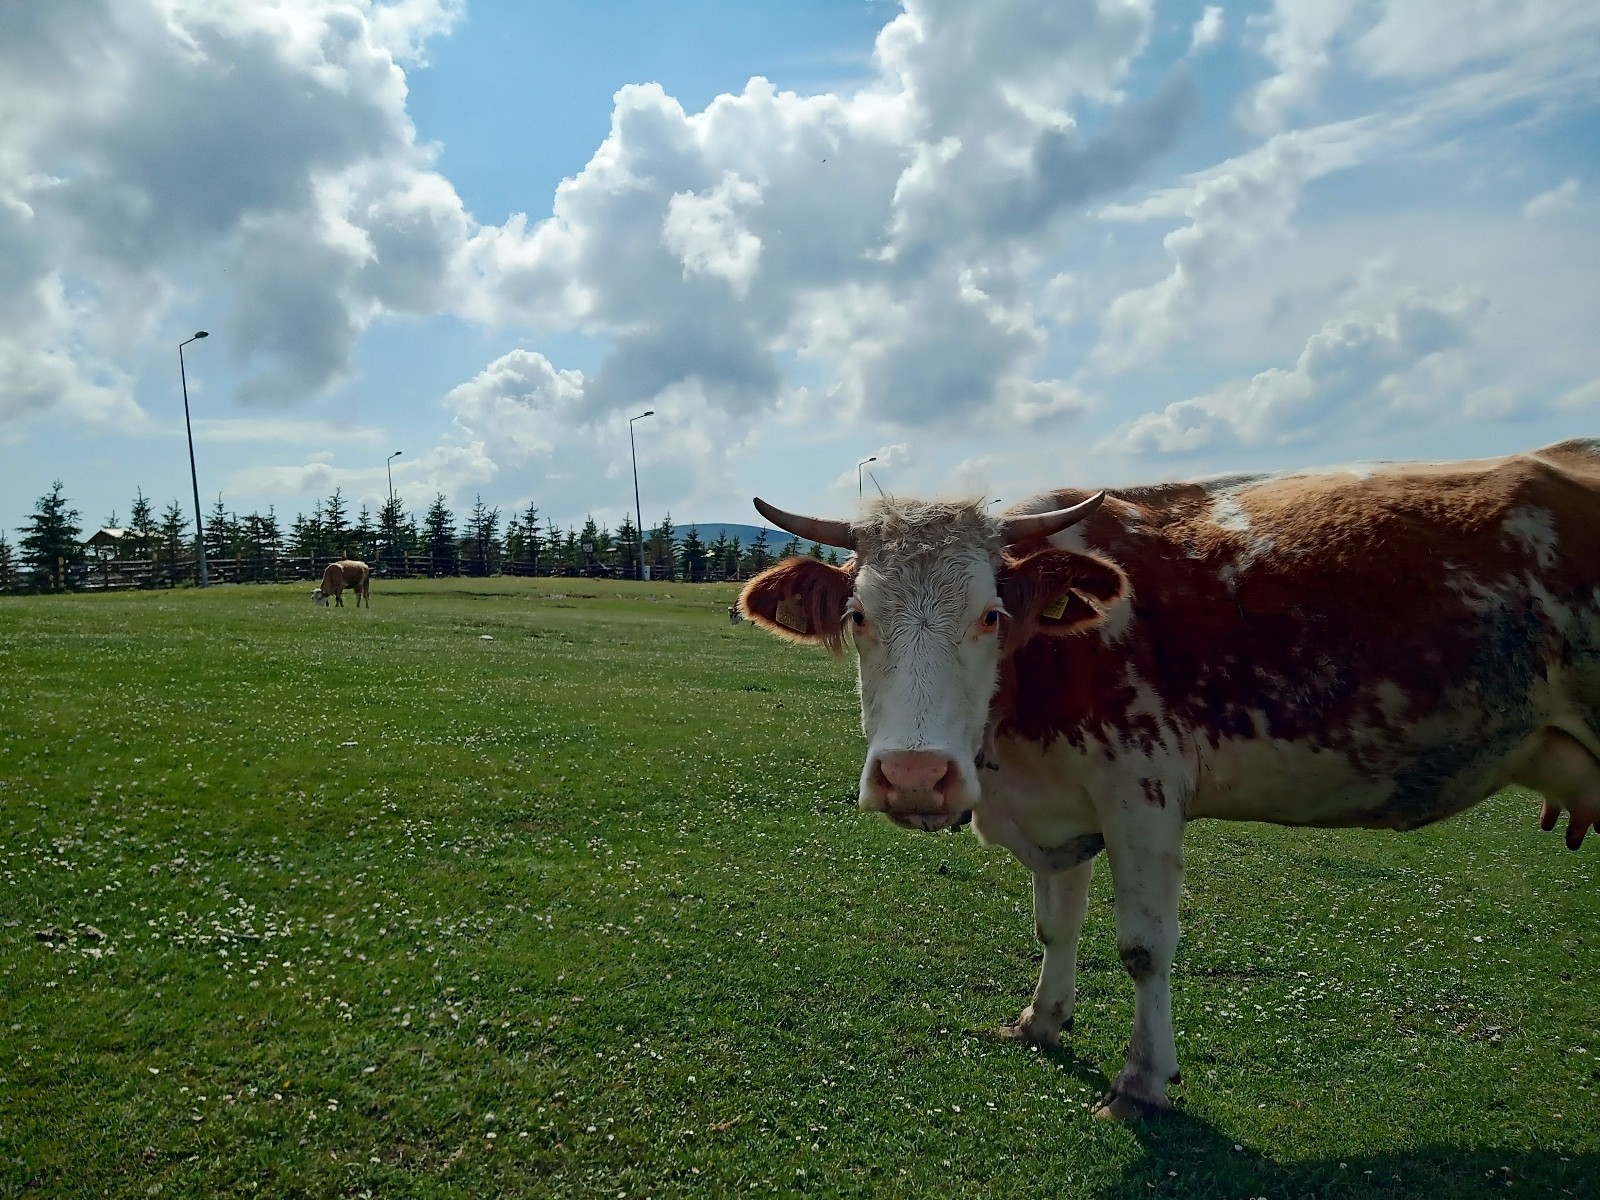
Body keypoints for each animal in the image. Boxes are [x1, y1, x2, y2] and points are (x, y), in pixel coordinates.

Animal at [736, 438, 1600, 1120]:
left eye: (989, 614)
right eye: (858, 616)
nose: (915, 776)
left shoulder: (1141, 793)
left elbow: (1143, 948)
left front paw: (1142, 1082)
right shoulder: (1060, 806)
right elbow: (1056, 925)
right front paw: (1043, 1019)